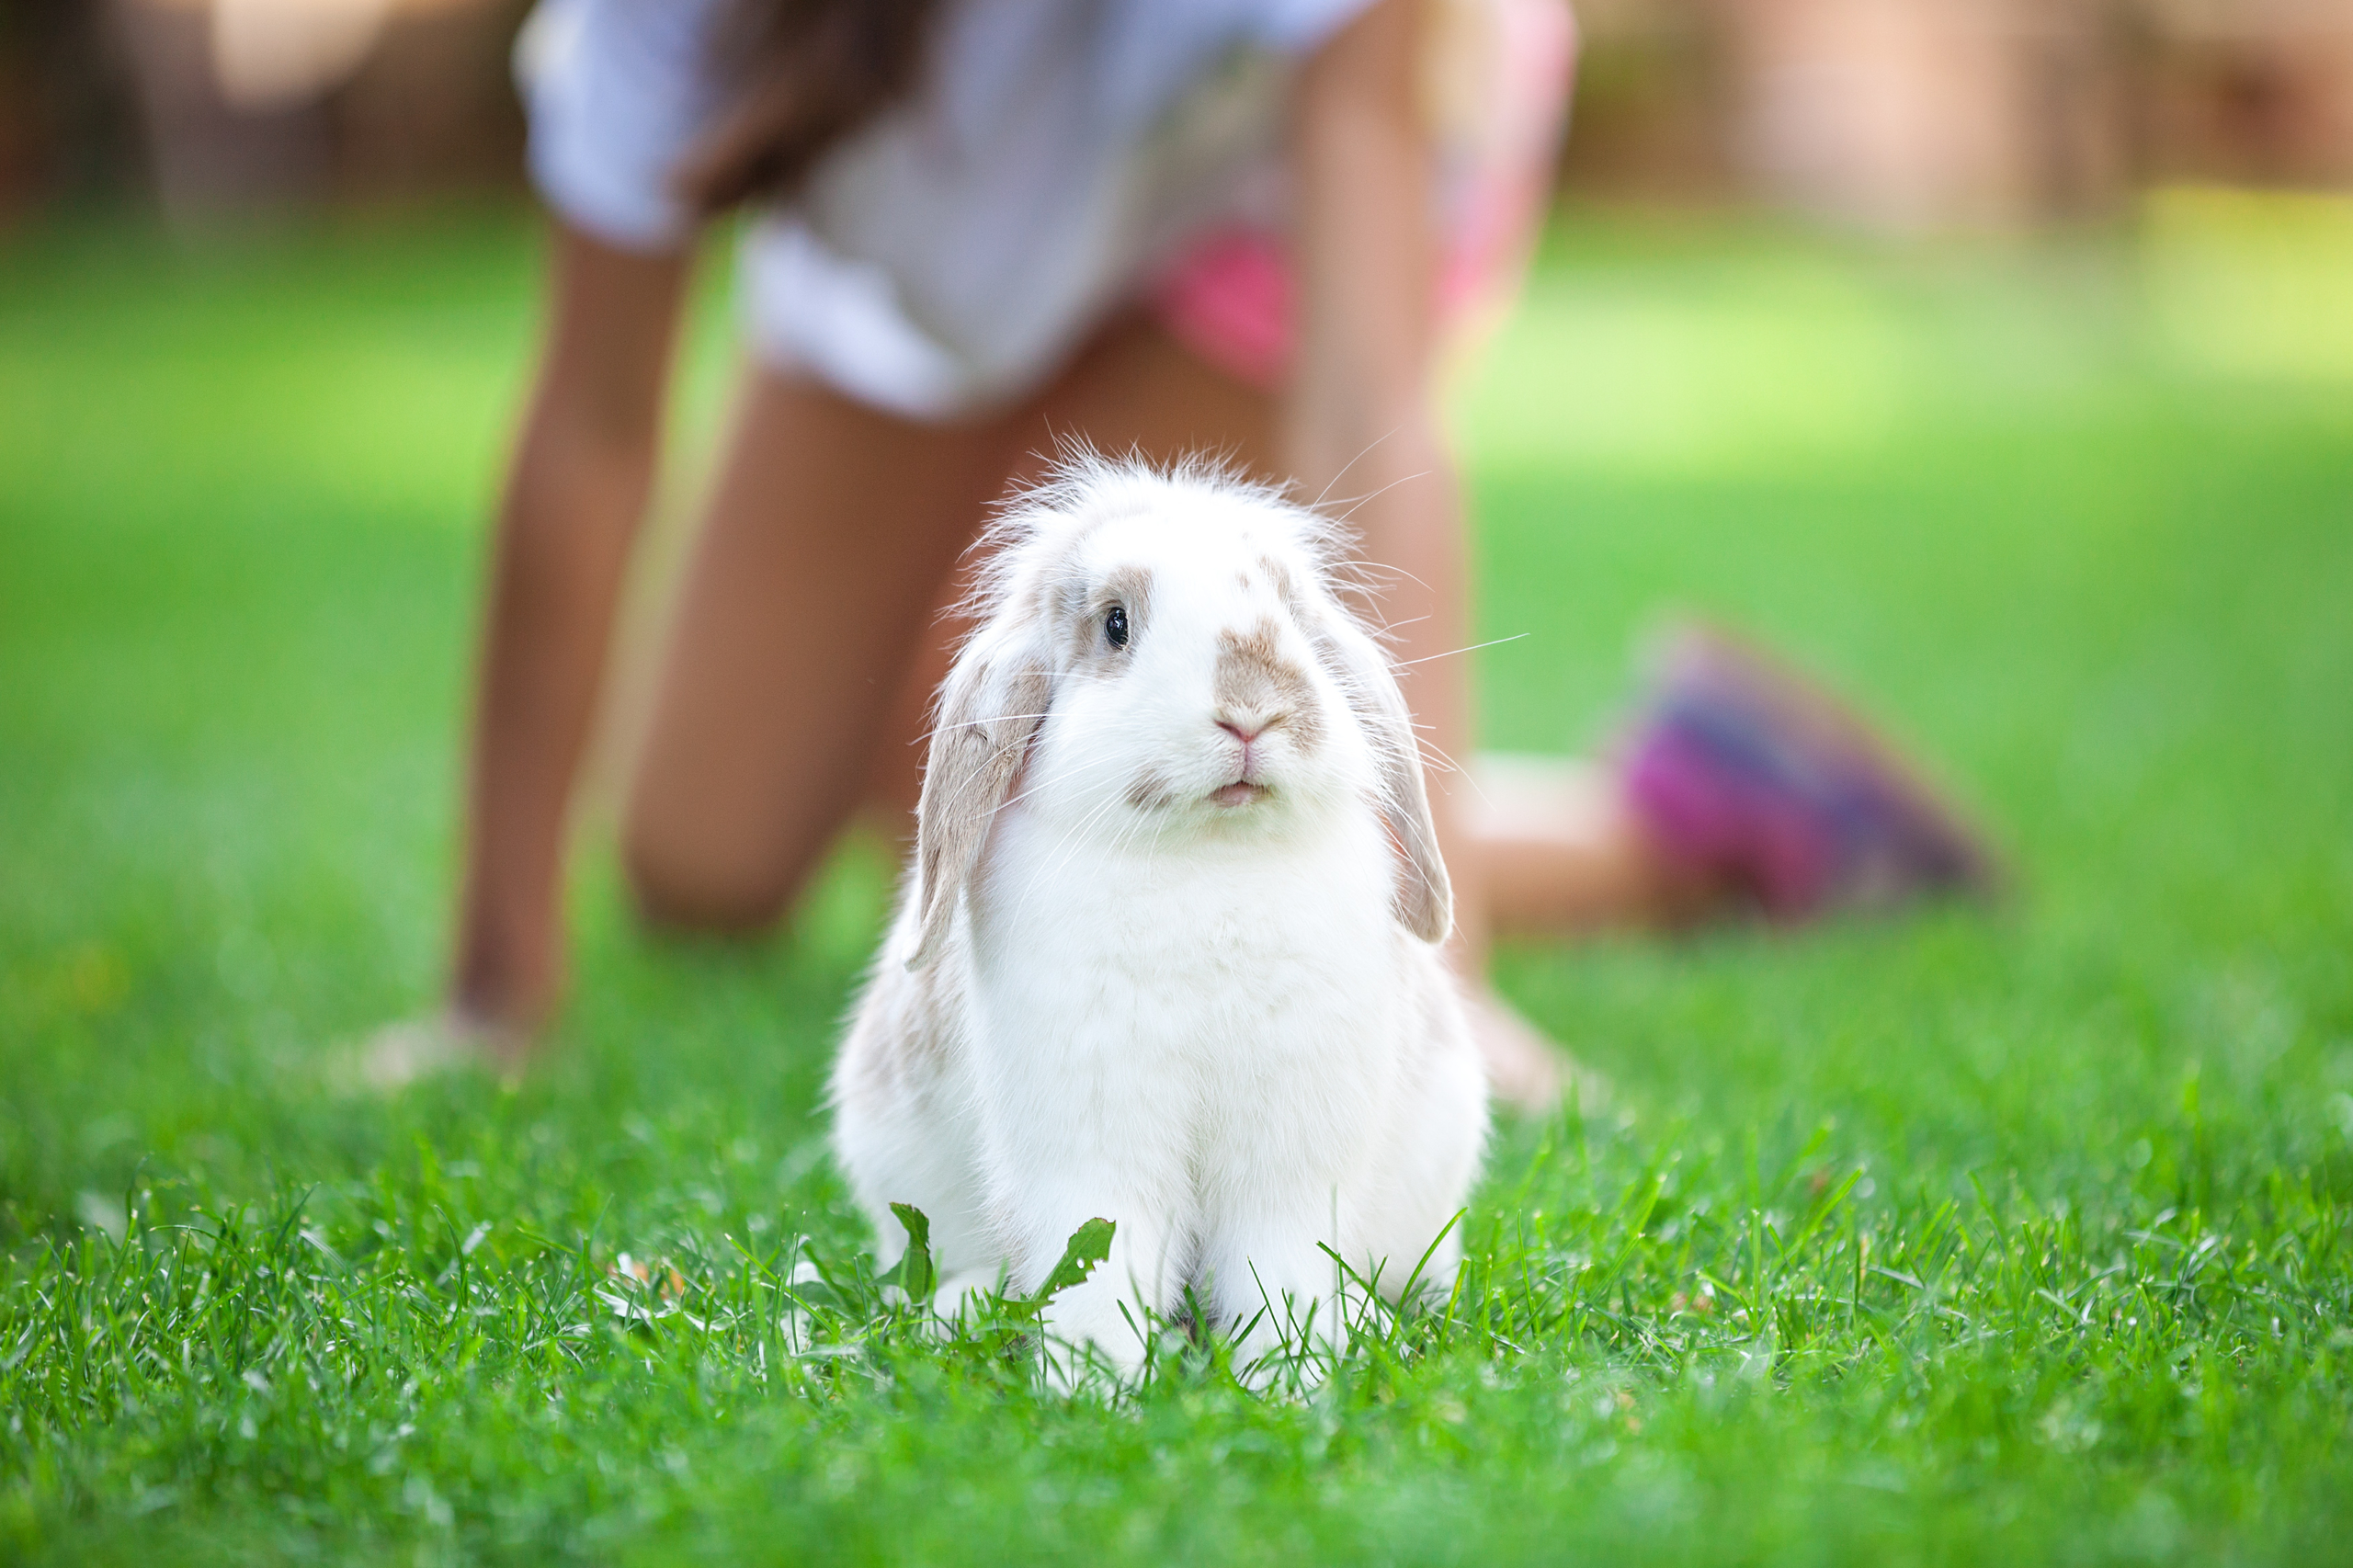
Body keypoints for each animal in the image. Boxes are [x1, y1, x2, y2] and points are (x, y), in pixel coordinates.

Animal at [829, 454, 1488, 1385]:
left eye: (1289, 613)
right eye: (1115, 625)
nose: (1252, 709)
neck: (1208, 862)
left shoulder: (1289, 1159)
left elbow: (1280, 1267)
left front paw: (1295, 1380)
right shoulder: (1091, 1152)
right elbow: (1100, 1266)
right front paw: (1092, 1386)